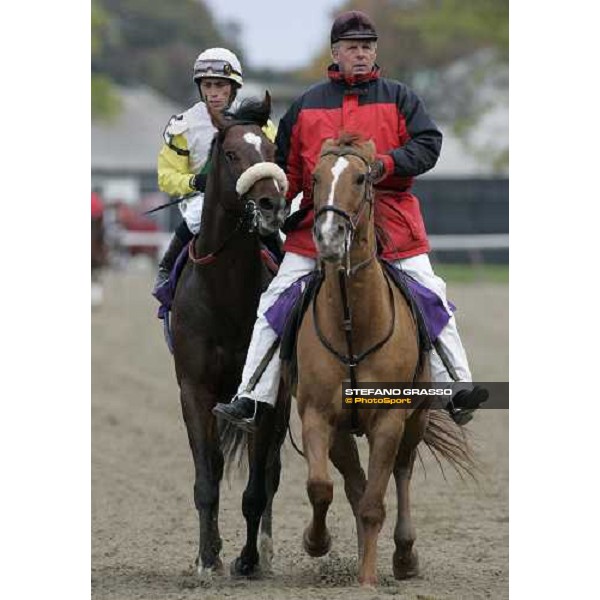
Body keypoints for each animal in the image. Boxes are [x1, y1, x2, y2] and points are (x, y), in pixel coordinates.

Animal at [292, 135, 472, 584]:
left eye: (361, 178)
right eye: (315, 178)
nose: (328, 236)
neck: (354, 324)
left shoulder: (389, 419)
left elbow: (377, 502)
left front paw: (369, 579)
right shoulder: (318, 414)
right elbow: (322, 487)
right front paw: (316, 542)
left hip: (414, 420)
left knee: (401, 472)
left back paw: (404, 556)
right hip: (343, 433)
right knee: (354, 484)